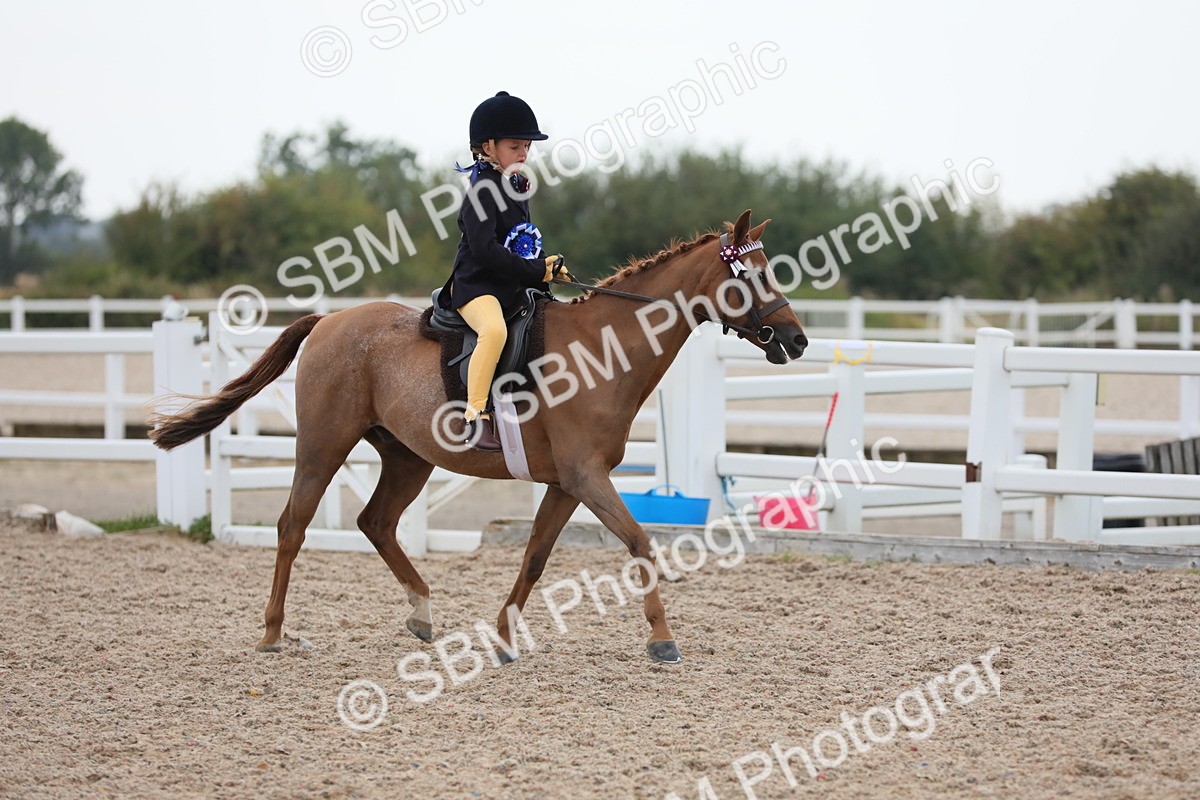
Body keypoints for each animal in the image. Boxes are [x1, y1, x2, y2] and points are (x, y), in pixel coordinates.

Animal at [149, 210, 807, 663]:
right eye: (751, 275)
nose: (797, 340)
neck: (604, 348)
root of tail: (330, 319)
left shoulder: (566, 484)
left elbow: (536, 556)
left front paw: (505, 637)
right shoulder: (588, 477)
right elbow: (642, 544)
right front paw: (663, 640)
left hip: (408, 457)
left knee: (375, 522)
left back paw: (421, 612)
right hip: (322, 446)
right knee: (292, 526)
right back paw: (272, 632)